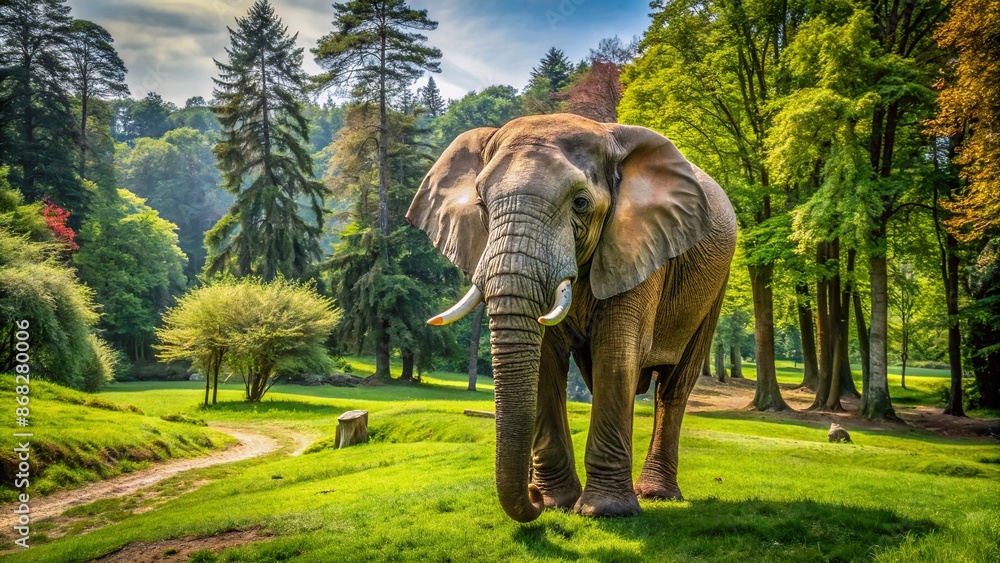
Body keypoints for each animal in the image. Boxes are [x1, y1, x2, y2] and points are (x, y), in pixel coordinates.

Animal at [407, 113, 737, 522]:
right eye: (482, 205)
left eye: (580, 203)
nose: (531, 493)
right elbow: (546, 360)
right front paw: (555, 504)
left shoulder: (637, 243)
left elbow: (616, 350)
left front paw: (605, 511)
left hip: (716, 285)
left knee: (674, 387)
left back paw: (656, 494)